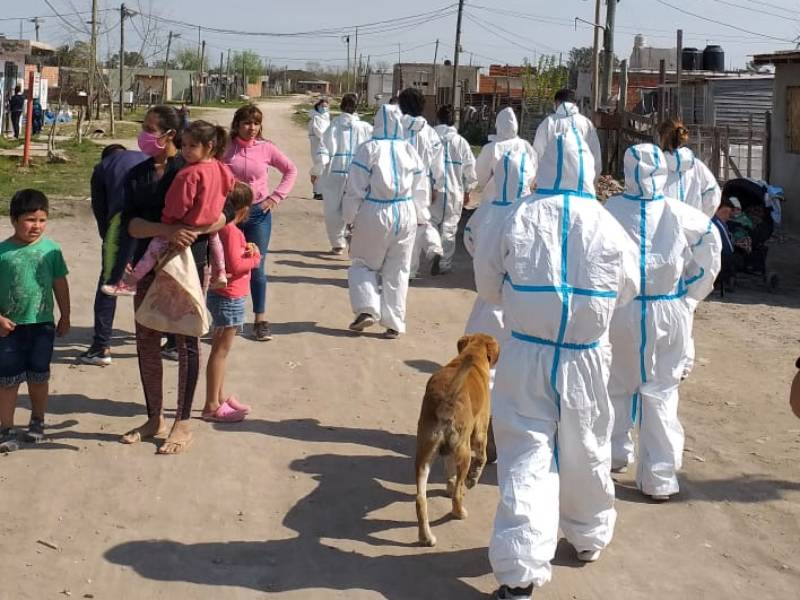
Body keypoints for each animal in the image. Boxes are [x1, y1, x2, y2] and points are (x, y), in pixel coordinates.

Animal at [415, 333, 499, 547]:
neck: (473, 353)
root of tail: (446, 399)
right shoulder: (480, 431)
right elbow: (483, 458)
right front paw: (473, 479)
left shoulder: (446, 452)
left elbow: (449, 471)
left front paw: (449, 484)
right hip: (464, 451)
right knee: (458, 494)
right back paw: (459, 511)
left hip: (424, 455)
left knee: (420, 499)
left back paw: (426, 537)